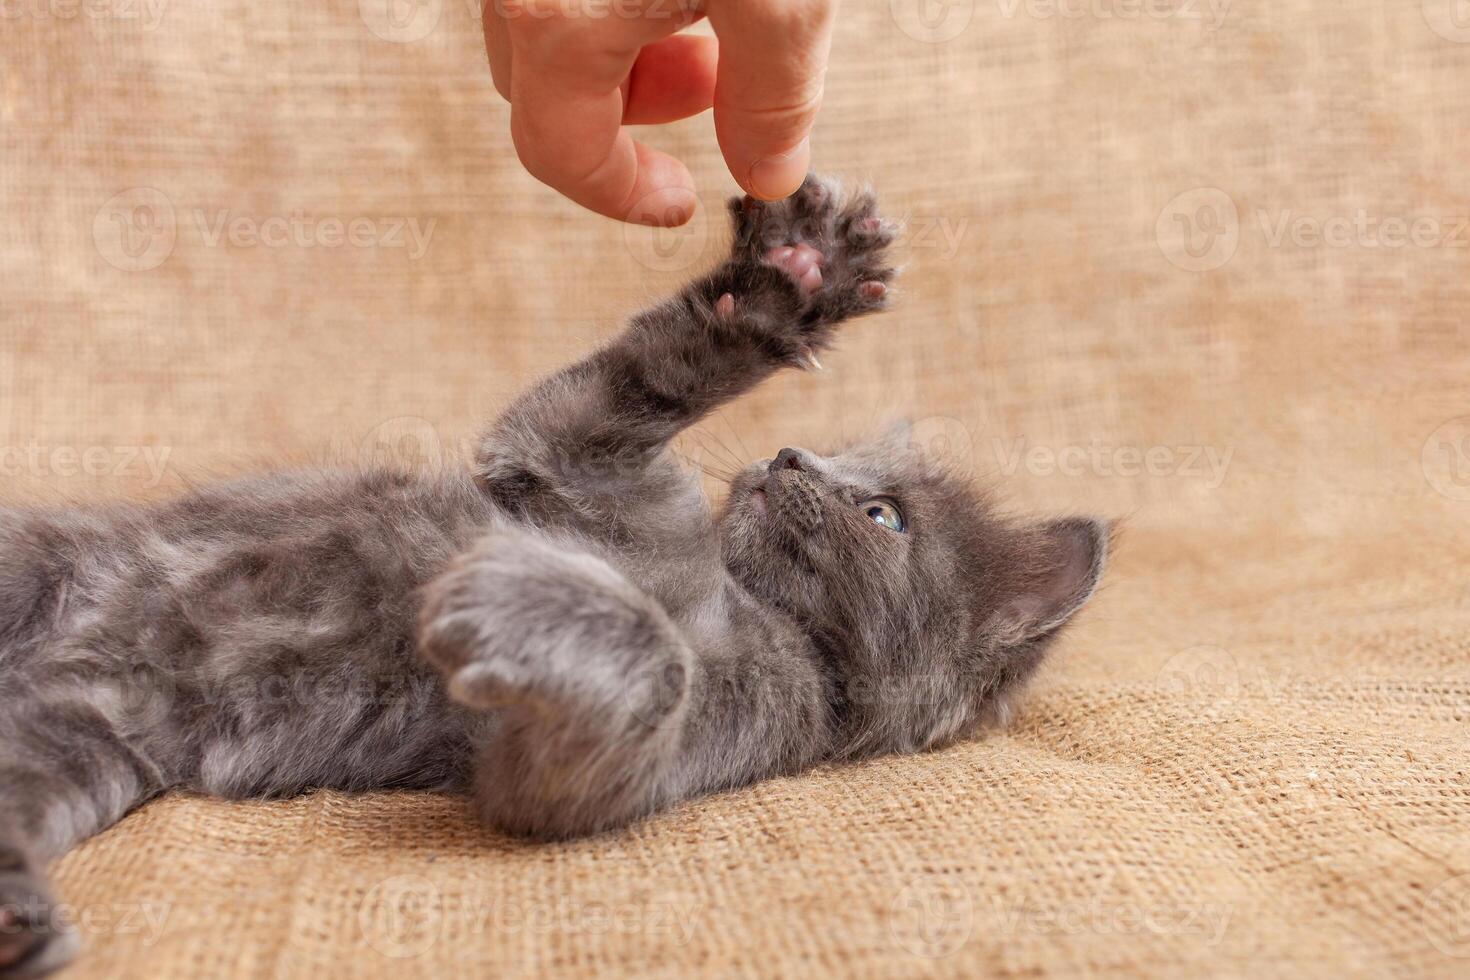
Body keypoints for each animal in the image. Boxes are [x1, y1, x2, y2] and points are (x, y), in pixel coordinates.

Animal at [0, 178, 1105, 980]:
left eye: (881, 514)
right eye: (826, 453)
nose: (787, 455)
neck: (732, 591)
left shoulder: (637, 757)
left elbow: (650, 662)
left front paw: (512, 601)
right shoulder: (568, 459)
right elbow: (642, 375)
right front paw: (794, 273)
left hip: (77, 744)